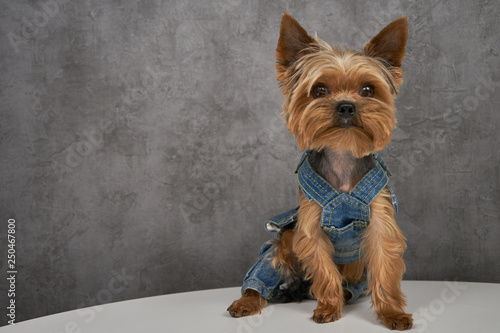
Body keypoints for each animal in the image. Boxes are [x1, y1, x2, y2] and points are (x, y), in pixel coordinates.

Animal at [229, 13, 412, 330]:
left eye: (367, 89)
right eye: (319, 90)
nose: (346, 106)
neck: (342, 153)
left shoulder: (381, 222)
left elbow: (385, 271)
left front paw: (392, 313)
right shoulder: (310, 226)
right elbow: (325, 271)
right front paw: (328, 307)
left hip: (358, 280)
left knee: (353, 286)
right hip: (277, 249)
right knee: (259, 279)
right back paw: (245, 302)